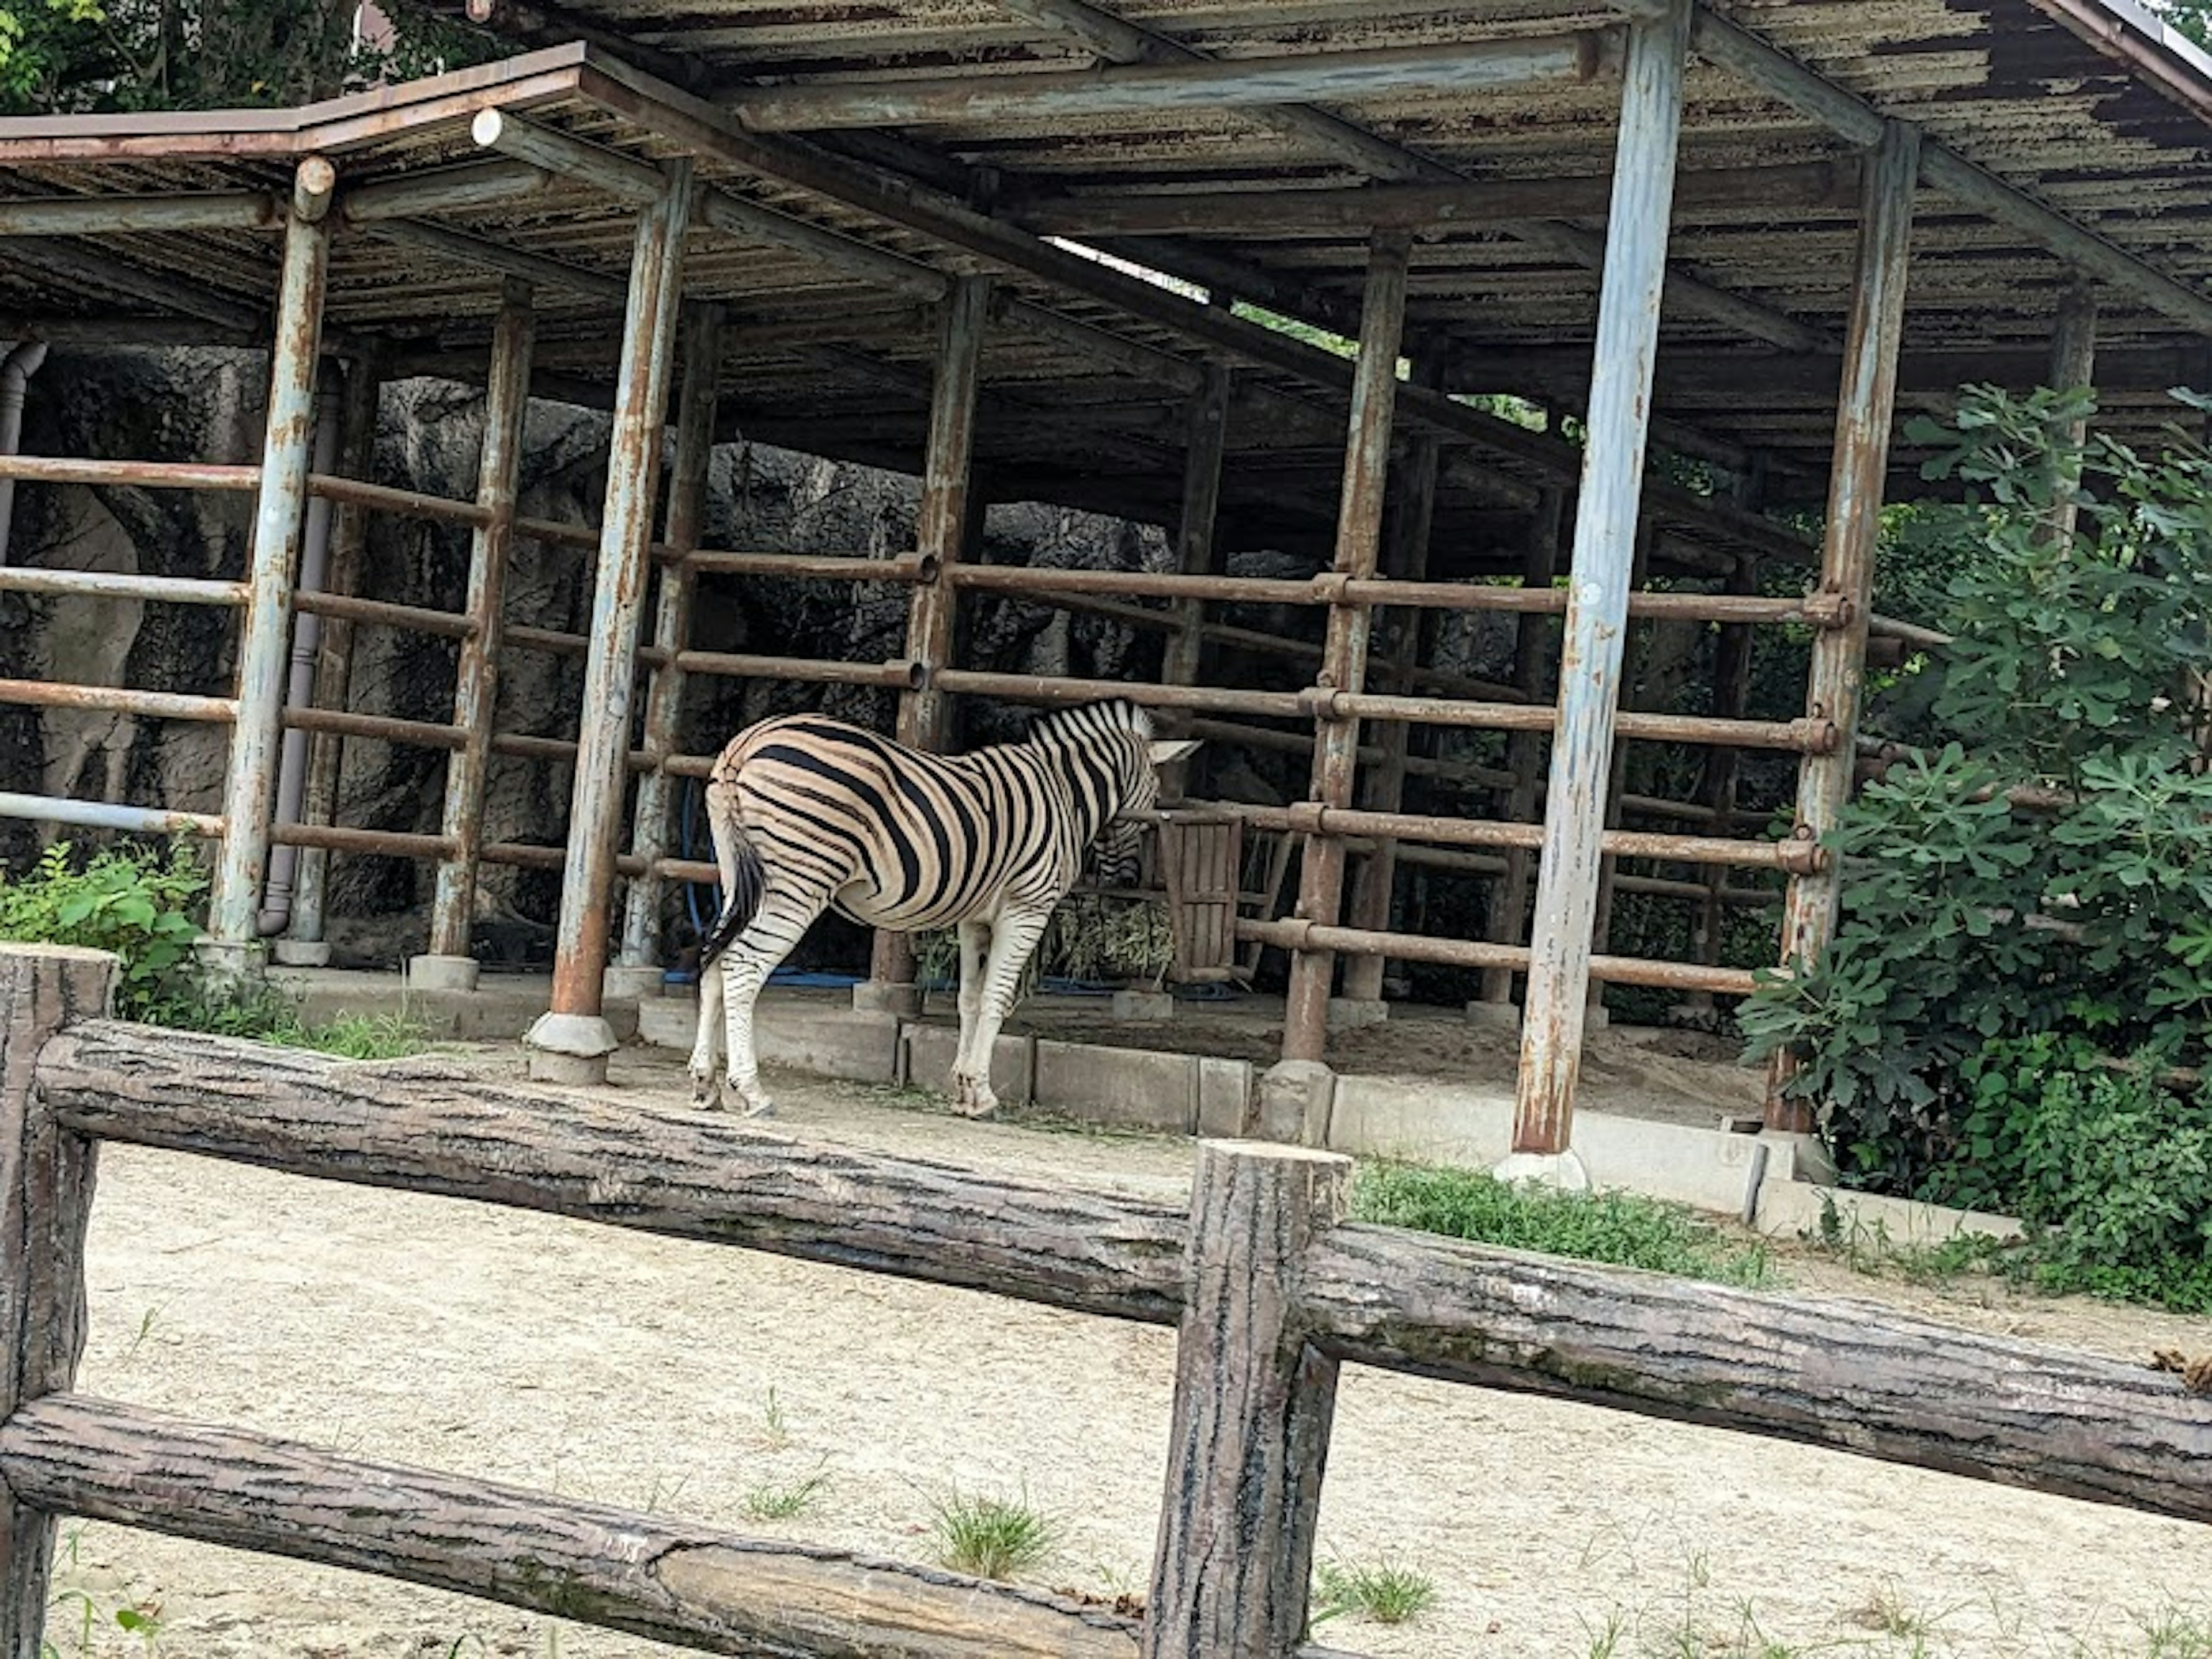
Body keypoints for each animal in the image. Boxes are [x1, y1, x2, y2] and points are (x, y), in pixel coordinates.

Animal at [690, 694, 1203, 1123]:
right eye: (1153, 801)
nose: (1127, 884)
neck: (1063, 793)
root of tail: (749, 742)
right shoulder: (1026, 909)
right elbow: (997, 997)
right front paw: (984, 1094)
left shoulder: (975, 918)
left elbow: (970, 999)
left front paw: (963, 1091)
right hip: (799, 880)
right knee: (743, 965)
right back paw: (752, 1092)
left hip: (738, 876)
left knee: (715, 963)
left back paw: (706, 1085)